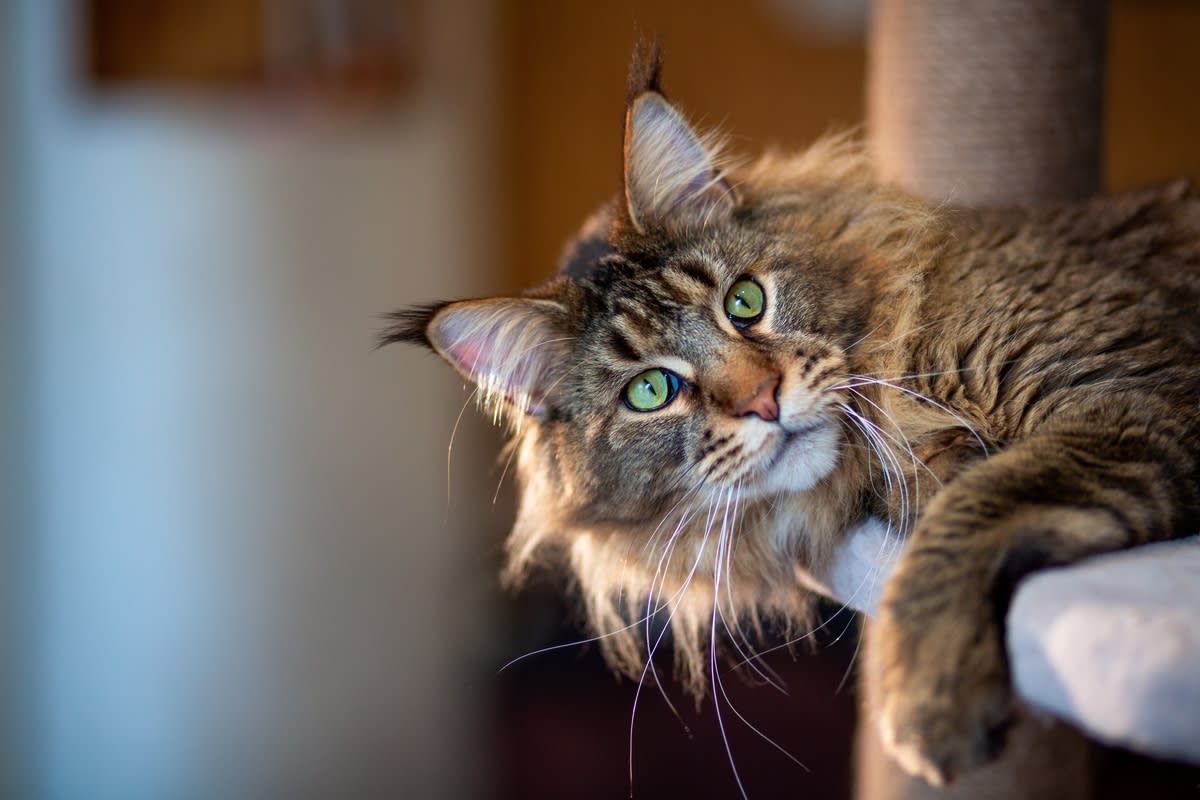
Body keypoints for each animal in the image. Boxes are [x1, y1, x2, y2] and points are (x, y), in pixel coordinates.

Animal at [381, 45, 1200, 786]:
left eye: (745, 301)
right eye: (650, 391)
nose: (762, 401)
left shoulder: (1123, 400)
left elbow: (965, 519)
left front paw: (925, 704)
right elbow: (963, 508)